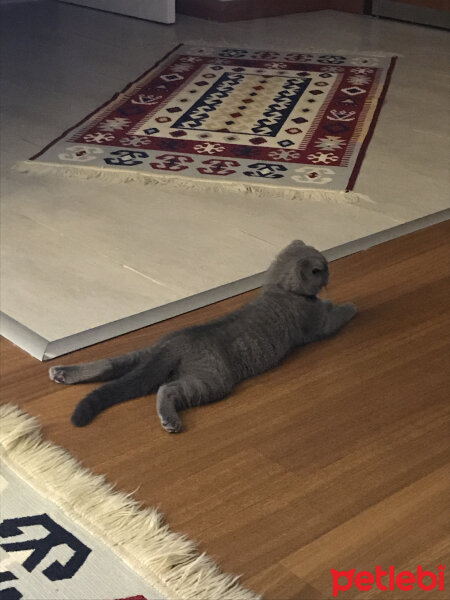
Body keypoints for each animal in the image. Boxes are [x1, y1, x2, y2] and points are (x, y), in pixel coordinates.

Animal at [49, 241, 356, 434]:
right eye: (324, 269)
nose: (330, 273)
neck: (278, 288)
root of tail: (177, 342)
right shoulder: (318, 326)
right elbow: (336, 315)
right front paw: (348, 306)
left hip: (143, 355)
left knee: (109, 365)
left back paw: (62, 372)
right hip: (212, 380)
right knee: (166, 389)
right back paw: (170, 421)